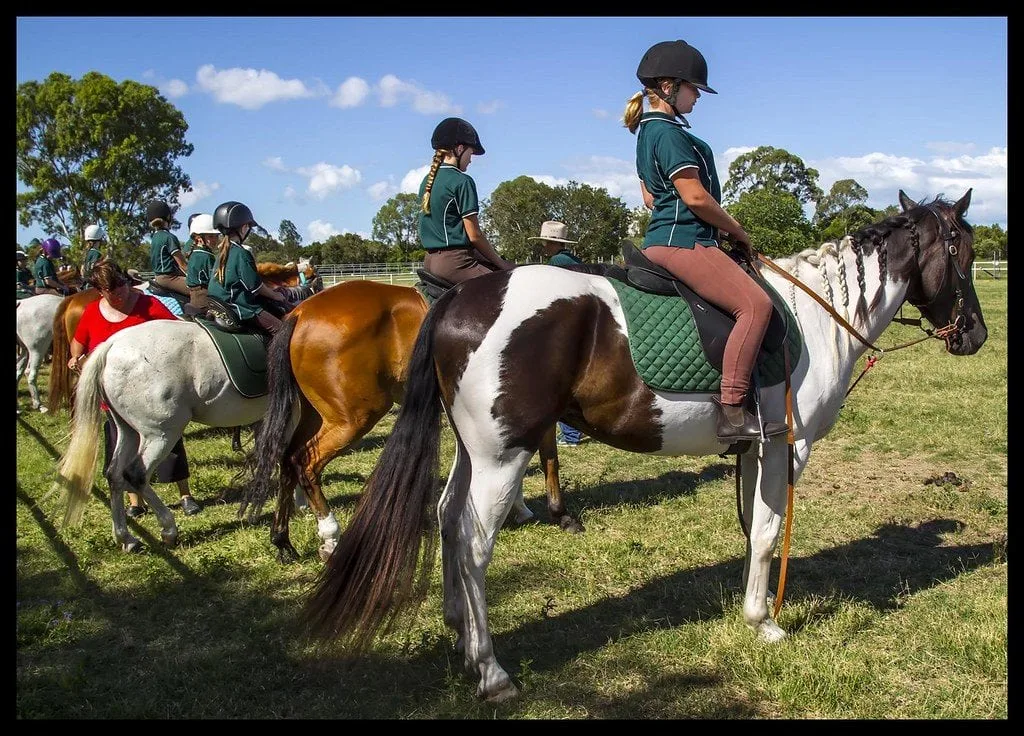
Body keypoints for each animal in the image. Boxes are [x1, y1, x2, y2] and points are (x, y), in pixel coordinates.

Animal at [241, 278, 577, 565]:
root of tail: (301, 312)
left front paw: (519, 507)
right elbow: (549, 459)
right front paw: (559, 513)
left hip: (316, 416)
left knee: (287, 459)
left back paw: (282, 541)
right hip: (352, 419)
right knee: (306, 463)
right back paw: (330, 537)